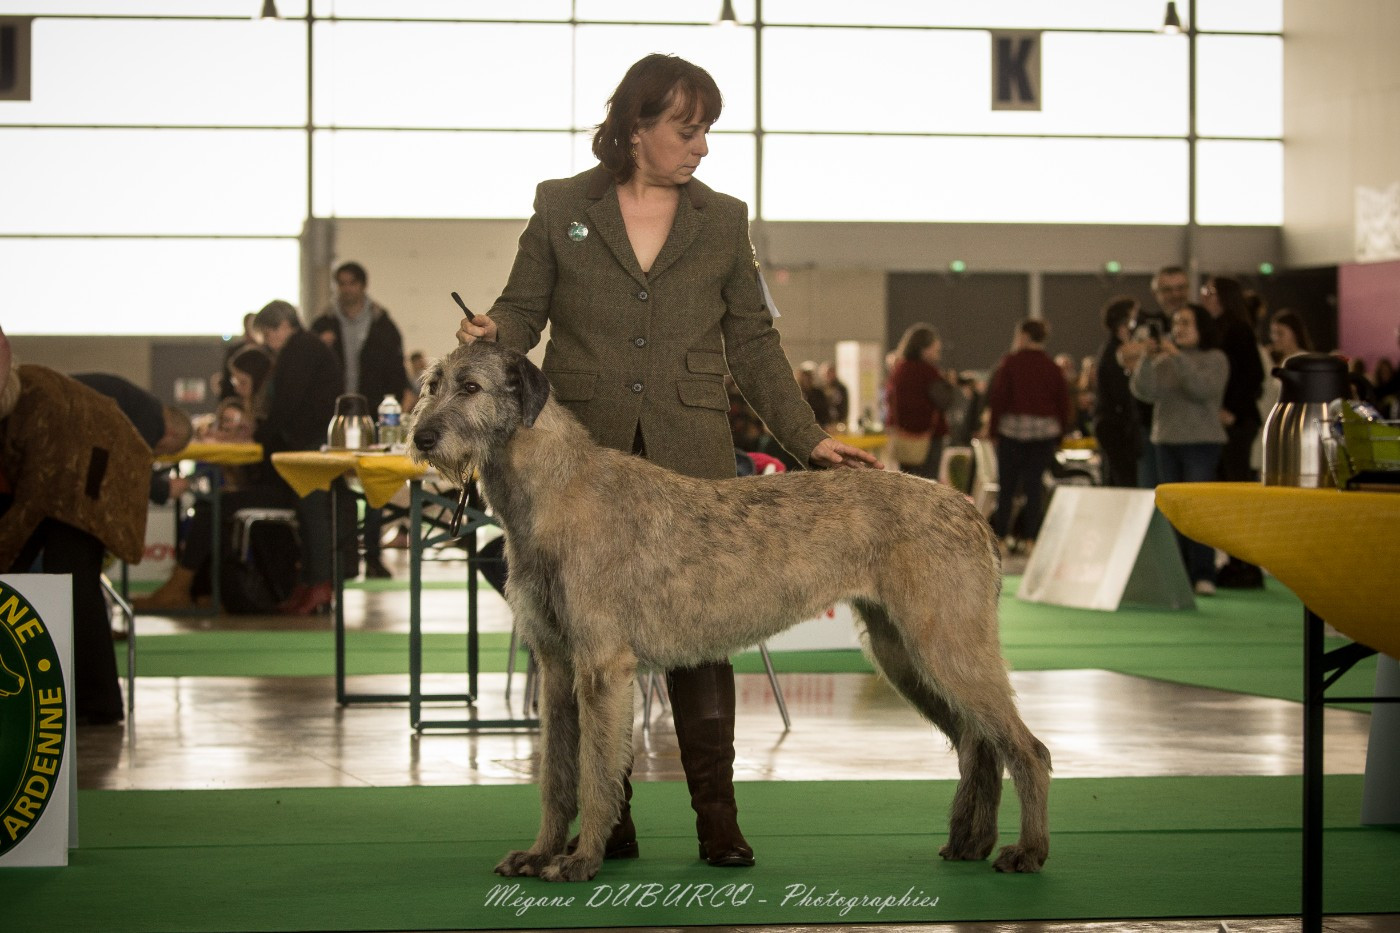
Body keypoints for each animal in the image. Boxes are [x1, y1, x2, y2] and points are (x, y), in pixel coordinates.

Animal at [407, 341, 1051, 883]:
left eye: (471, 386)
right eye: (432, 384)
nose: (421, 437)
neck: (554, 487)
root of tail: (969, 507)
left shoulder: (601, 665)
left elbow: (594, 773)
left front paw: (581, 859)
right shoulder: (558, 665)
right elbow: (556, 776)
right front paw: (540, 851)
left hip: (946, 645)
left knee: (1024, 747)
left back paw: (1027, 850)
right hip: (903, 653)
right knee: (977, 743)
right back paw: (971, 842)